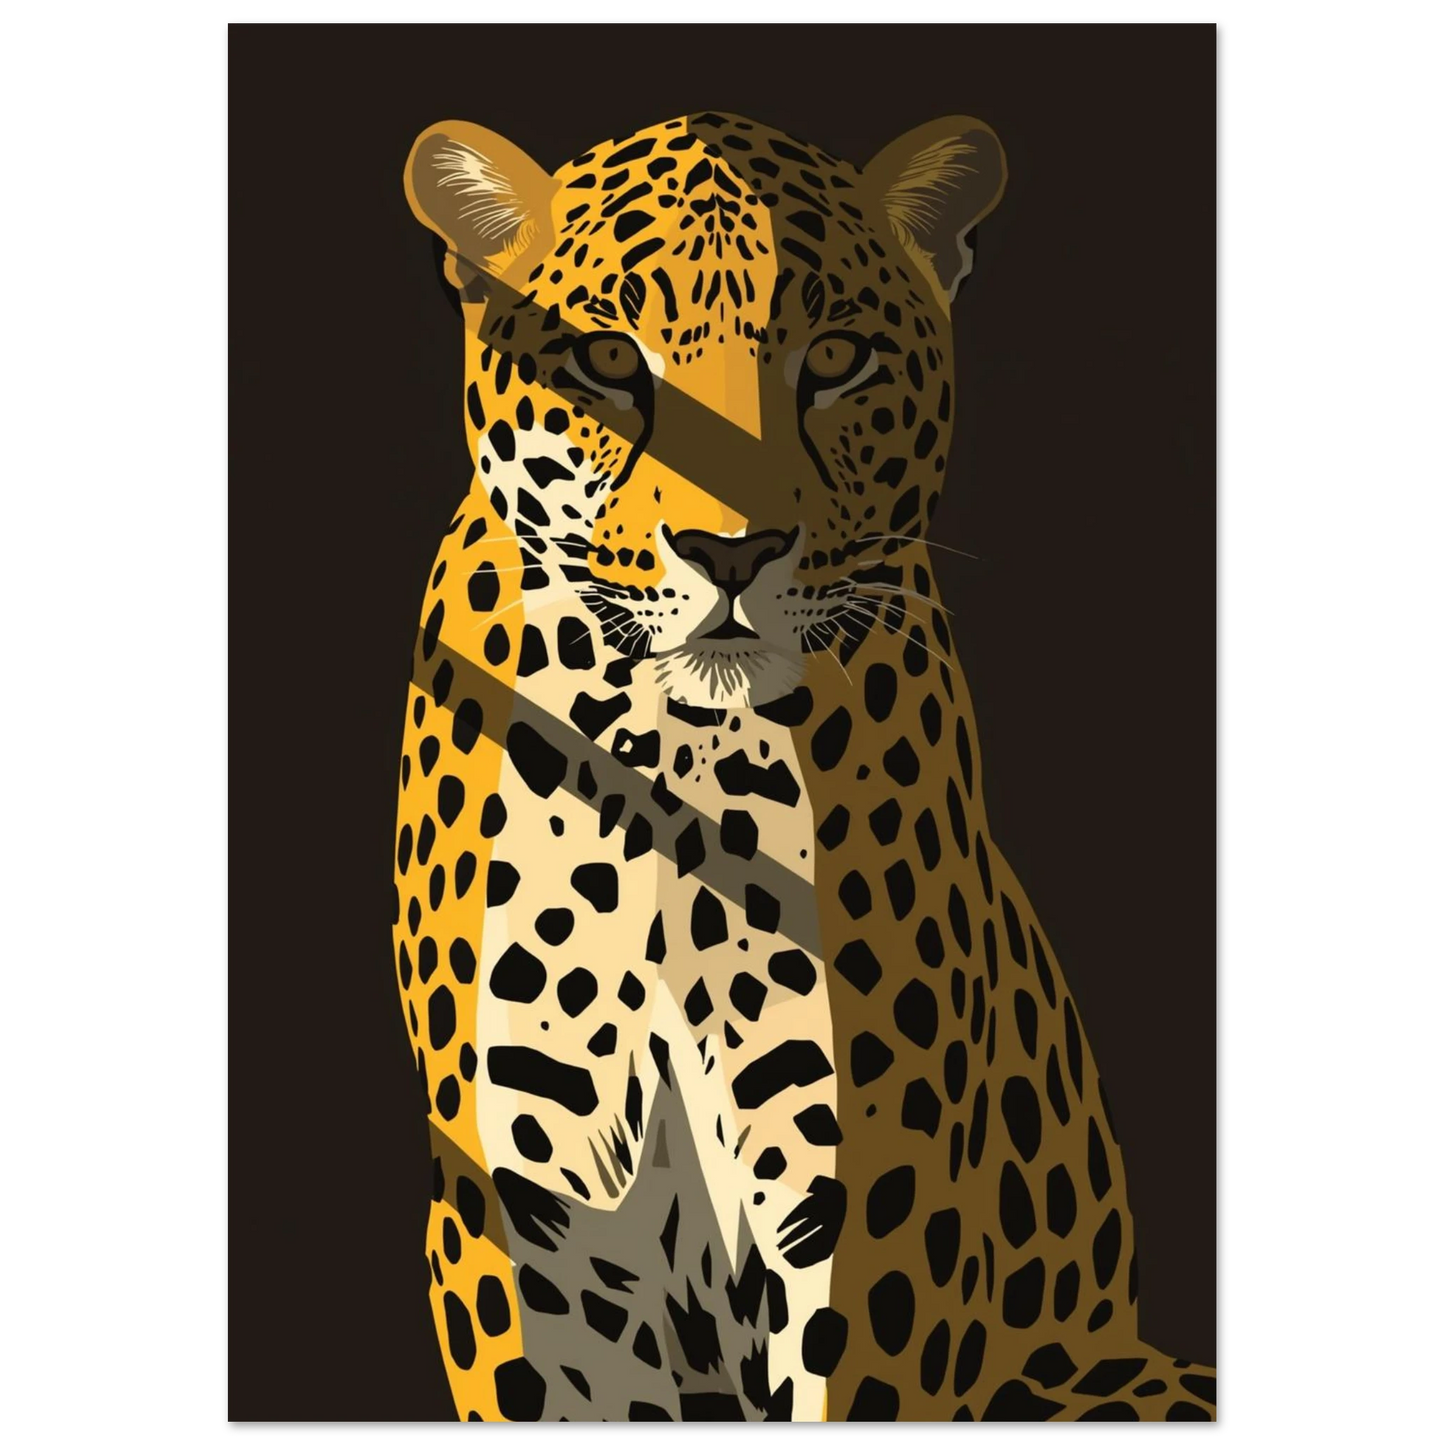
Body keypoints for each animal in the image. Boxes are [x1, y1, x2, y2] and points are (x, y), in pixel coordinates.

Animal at [390, 109, 1217, 1423]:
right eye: (607, 361)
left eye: (832, 358)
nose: (730, 548)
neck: (675, 759)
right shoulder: (526, 1209)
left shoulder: (870, 1199)